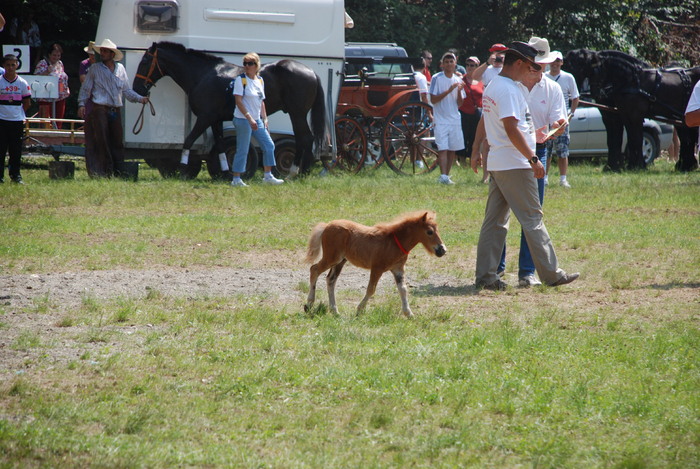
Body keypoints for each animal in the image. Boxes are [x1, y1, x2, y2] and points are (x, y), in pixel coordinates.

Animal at [133, 42, 326, 178]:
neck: (203, 75)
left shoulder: (205, 118)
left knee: (305, 138)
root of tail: (310, 71)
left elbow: (188, 141)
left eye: (145, 61)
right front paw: (225, 172)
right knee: (306, 139)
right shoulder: (216, 120)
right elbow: (219, 147)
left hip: (297, 114)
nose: (137, 88)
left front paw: (182, 170)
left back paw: (295, 172)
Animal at [568, 49, 696, 172]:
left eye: (578, 65)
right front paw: (616, 166)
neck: (631, 81)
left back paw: (686, 165)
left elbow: (635, 139)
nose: (598, 92)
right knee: (686, 137)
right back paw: (685, 165)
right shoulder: (618, 116)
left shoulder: (633, 116)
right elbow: (617, 140)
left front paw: (636, 165)